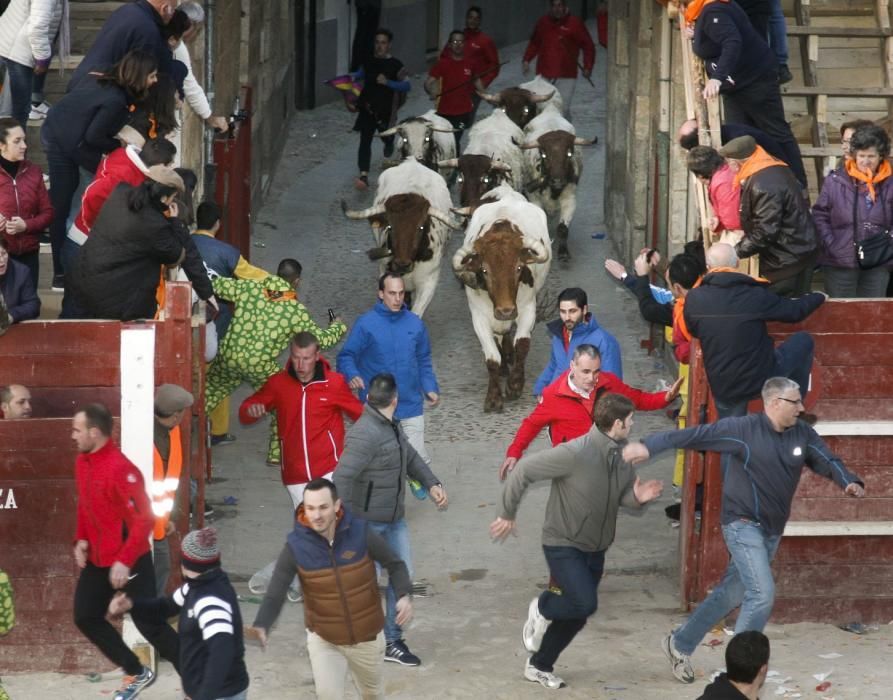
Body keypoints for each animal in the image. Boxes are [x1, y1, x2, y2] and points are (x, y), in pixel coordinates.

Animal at [452, 189, 552, 412]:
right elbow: (492, 358)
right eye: (484, 271)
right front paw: (493, 396)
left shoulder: (527, 309)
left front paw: (515, 385)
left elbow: (522, 343)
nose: (506, 311)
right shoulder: (479, 317)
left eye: (518, 267)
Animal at [520, 105, 596, 264]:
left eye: (569, 153)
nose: (557, 180)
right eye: (544, 155)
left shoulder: (570, 199)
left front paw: (563, 252)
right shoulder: (534, 198)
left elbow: (562, 228)